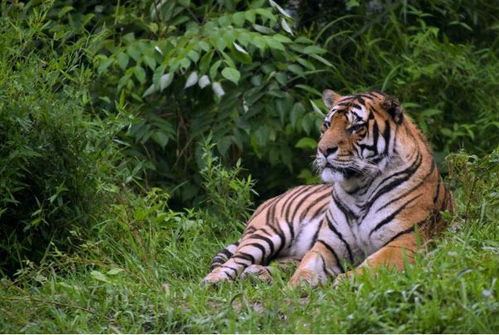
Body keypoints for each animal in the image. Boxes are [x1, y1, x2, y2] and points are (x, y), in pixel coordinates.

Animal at [202, 90, 454, 288]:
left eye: (355, 127)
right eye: (327, 125)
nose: (323, 150)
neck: (360, 188)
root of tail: (273, 197)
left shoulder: (407, 240)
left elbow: (373, 264)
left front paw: (345, 281)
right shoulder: (328, 245)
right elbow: (308, 266)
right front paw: (297, 286)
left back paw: (258, 274)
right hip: (269, 231)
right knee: (234, 261)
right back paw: (214, 280)